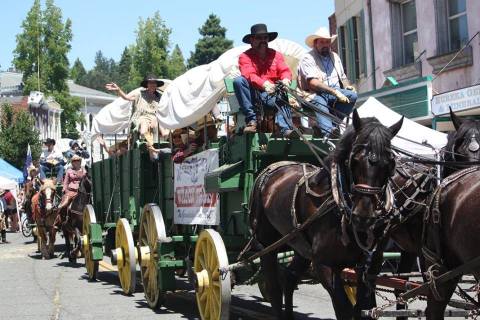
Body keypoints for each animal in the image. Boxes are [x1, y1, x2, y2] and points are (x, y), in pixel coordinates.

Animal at [249, 109, 404, 318]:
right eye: (354, 160)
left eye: (390, 163)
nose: (363, 216)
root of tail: (272, 169)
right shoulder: (325, 265)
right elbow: (345, 309)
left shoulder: (370, 266)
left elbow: (363, 307)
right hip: (267, 243)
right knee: (273, 287)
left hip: (300, 245)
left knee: (289, 277)